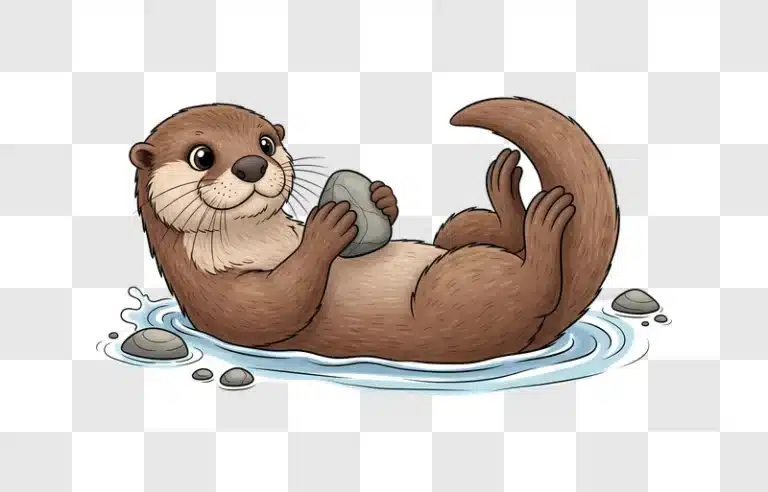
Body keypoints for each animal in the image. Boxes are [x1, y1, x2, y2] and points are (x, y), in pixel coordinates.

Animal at [129, 98, 618, 364]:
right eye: (202, 156)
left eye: (266, 143)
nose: (252, 165)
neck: (261, 245)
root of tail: (537, 336)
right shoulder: (213, 296)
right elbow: (274, 307)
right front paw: (327, 228)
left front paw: (381, 198)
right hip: (457, 291)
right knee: (534, 282)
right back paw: (544, 221)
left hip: (462, 244)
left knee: (472, 232)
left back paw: (508, 193)